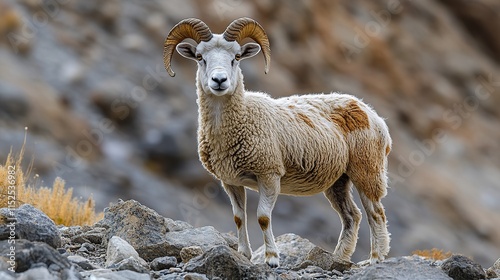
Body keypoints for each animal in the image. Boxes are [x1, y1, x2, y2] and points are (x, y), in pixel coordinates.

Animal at [163, 17, 390, 266]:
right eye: (200, 57)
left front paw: (271, 258)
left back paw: (376, 258)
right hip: (339, 180)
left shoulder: (270, 174)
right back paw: (338, 258)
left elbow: (263, 217)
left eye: (236, 58)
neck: (242, 117)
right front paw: (244, 254)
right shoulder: (230, 181)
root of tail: (369, 112)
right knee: (352, 215)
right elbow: (238, 217)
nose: (219, 80)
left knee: (376, 212)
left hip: (367, 169)